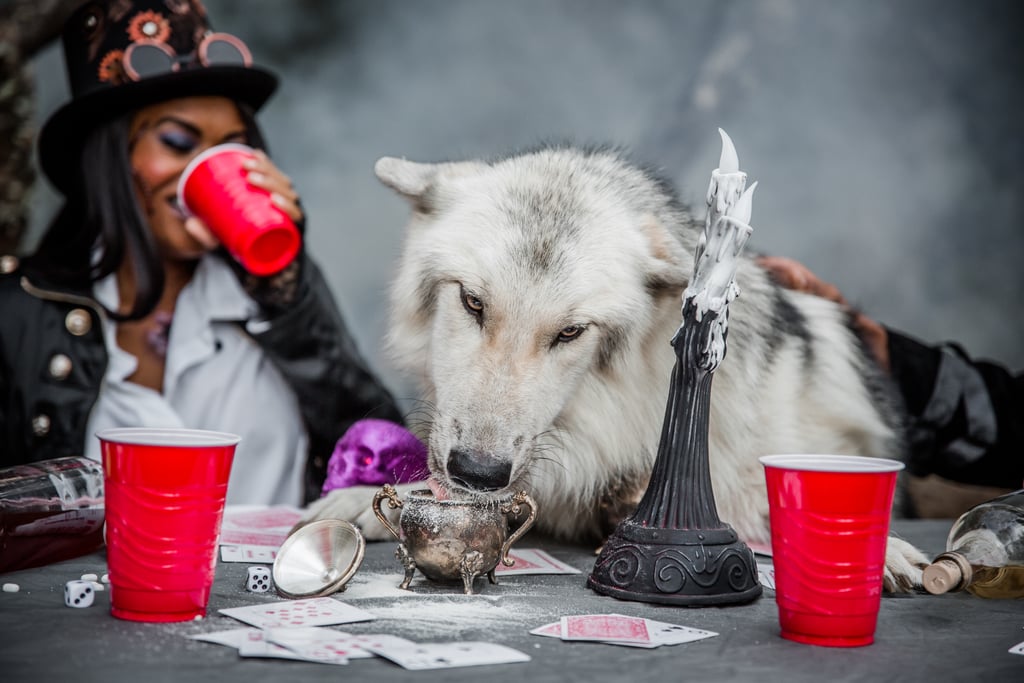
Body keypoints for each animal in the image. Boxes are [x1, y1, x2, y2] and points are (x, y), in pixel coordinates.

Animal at [301, 143, 929, 593]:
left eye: (570, 333)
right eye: (473, 303)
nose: (478, 473)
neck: (609, 416)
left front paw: (880, 553)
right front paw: (356, 502)